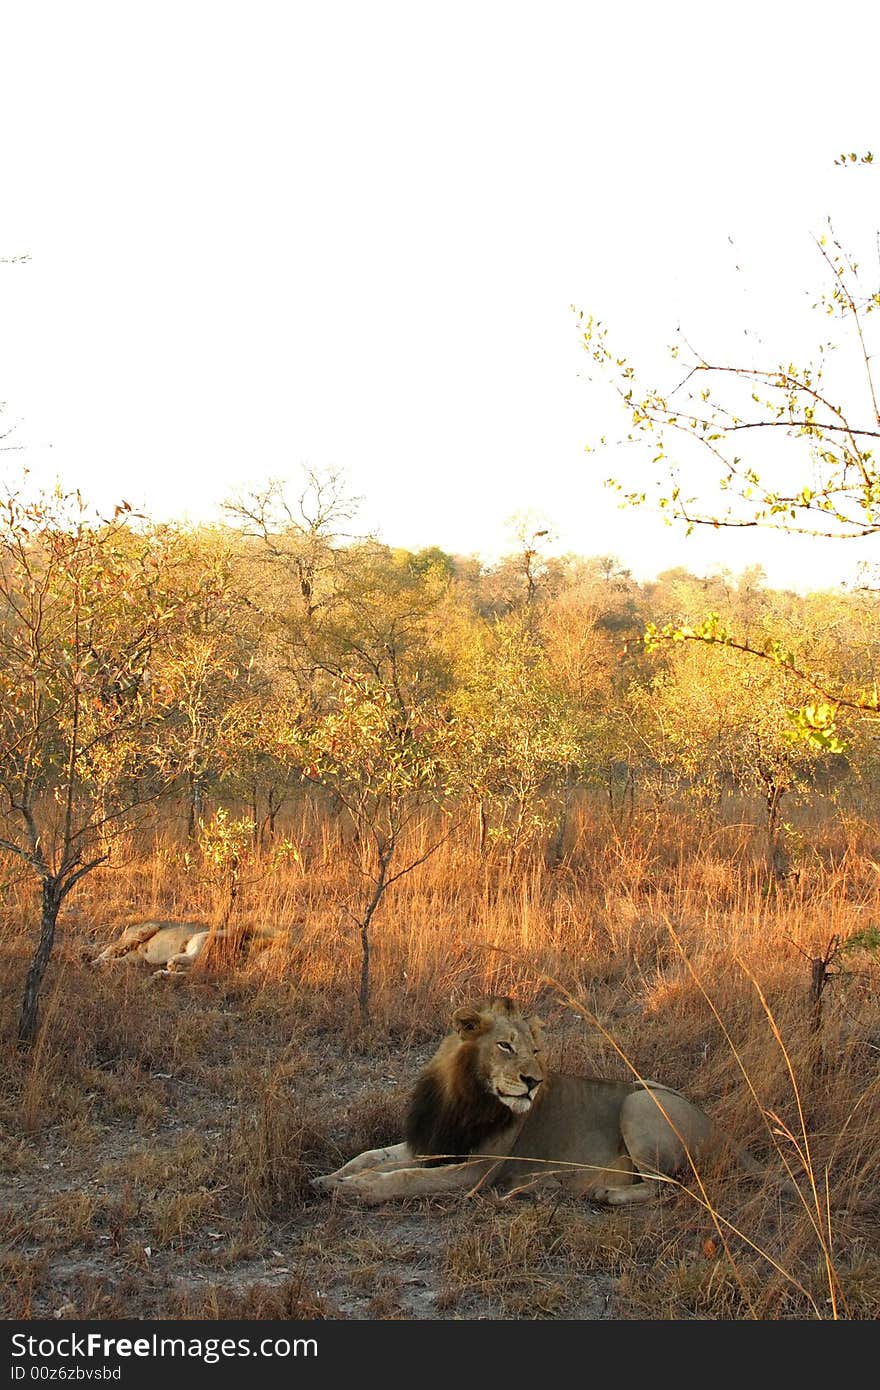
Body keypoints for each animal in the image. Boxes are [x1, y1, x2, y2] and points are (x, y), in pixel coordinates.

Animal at [308, 995, 750, 1200]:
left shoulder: (475, 1172)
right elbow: (370, 1157)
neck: (464, 1095)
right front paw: (328, 1178)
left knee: (671, 1189)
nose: (534, 1082)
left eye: (536, 1050)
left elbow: (401, 1176)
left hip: (640, 1101)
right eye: (505, 1045)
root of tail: (725, 1134)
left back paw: (604, 1193)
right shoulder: (432, 1143)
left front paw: (354, 1188)